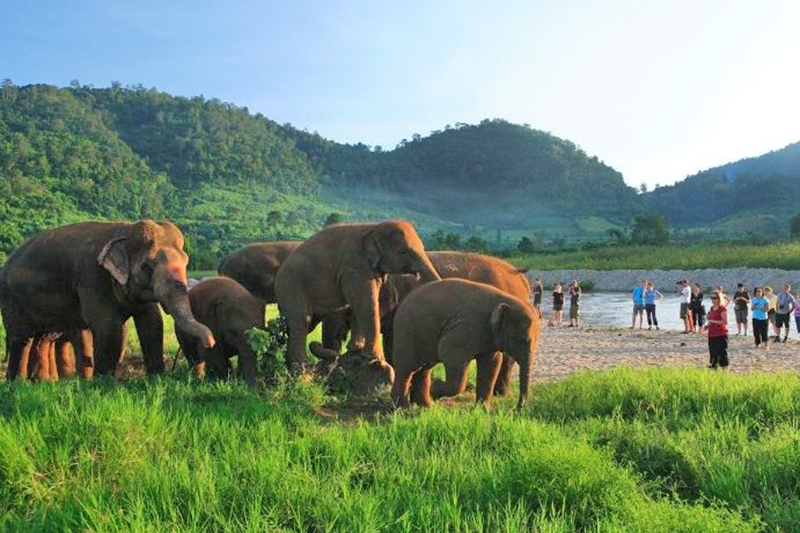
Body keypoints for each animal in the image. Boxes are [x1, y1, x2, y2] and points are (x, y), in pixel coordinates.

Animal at [0, 220, 215, 379]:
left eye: (186, 263)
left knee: (39, 338)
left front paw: (156, 379)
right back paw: (17, 384)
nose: (210, 343)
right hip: (10, 297)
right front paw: (103, 383)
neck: (124, 230)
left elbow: (152, 323)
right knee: (21, 338)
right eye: (147, 267)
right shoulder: (92, 277)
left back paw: (37, 382)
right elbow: (107, 326)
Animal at [274, 221, 440, 370]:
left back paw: (291, 365)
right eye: (403, 252)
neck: (374, 226)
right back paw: (301, 366)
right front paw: (374, 358)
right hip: (290, 286)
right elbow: (365, 302)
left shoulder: (370, 269)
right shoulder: (355, 269)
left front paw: (356, 349)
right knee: (302, 319)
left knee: (300, 325)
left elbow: (361, 304)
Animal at [390, 279, 540, 410]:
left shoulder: (489, 338)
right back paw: (403, 408)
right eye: (518, 339)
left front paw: (481, 411)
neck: (503, 299)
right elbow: (448, 351)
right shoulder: (466, 327)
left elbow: (491, 364)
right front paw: (435, 388)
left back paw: (426, 406)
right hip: (406, 331)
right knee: (407, 368)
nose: (517, 409)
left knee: (424, 368)